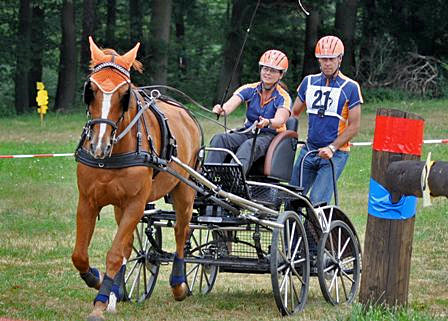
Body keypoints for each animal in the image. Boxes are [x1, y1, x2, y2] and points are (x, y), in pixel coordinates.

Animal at [72, 37, 201, 320]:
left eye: (124, 95)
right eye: (90, 90)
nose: (99, 144)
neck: (111, 154)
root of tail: (186, 113)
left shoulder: (136, 203)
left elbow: (114, 253)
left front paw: (100, 302)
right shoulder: (87, 201)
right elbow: (80, 255)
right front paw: (99, 282)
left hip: (184, 191)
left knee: (182, 231)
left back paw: (179, 285)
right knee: (129, 245)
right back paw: (116, 292)